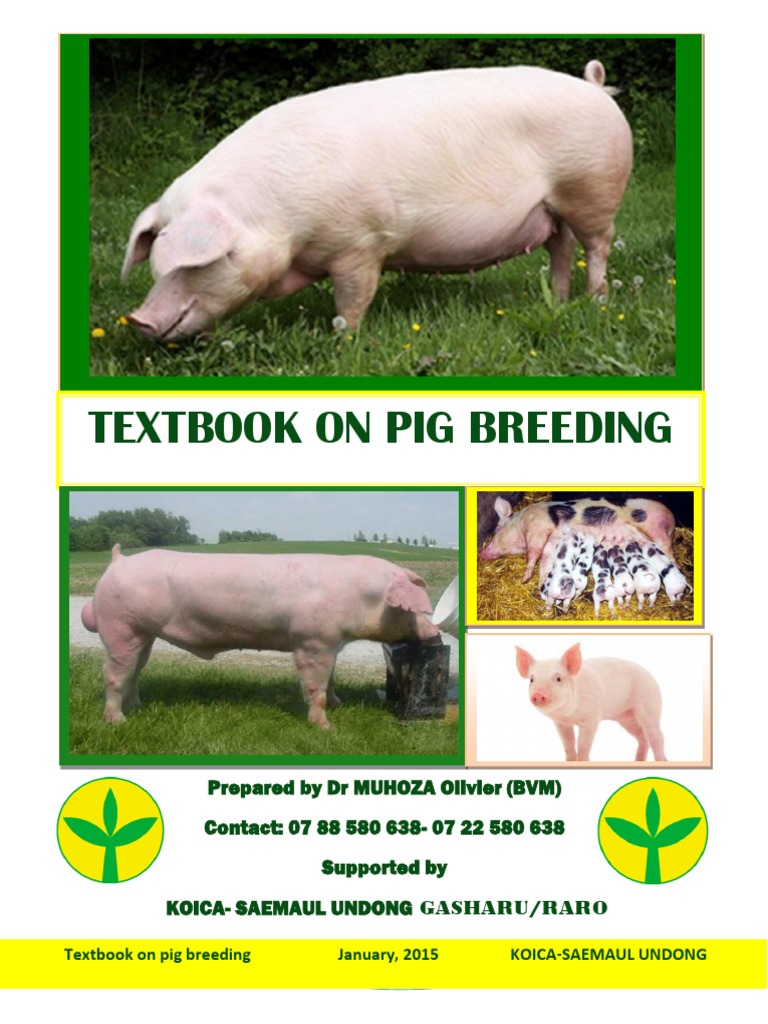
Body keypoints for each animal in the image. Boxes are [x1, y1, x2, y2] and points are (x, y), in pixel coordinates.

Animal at [81, 545, 438, 730]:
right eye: (418, 608)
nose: (434, 630)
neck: (362, 597)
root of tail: (118, 561)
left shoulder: (329, 642)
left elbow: (331, 678)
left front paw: (338, 703)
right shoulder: (312, 641)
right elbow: (315, 685)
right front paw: (325, 726)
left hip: (143, 634)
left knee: (135, 670)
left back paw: (137, 705)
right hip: (121, 628)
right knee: (113, 673)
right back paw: (118, 721)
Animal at [121, 62, 632, 339]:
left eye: (197, 263)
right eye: (156, 267)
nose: (138, 319)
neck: (281, 220)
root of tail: (593, 86)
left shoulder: (361, 244)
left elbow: (351, 302)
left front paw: (342, 342)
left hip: (592, 190)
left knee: (597, 247)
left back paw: (596, 302)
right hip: (554, 208)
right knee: (561, 248)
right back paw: (558, 302)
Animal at [481, 495, 676, 583]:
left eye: (496, 529)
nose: (482, 554)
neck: (520, 522)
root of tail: (671, 518)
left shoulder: (537, 529)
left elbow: (533, 553)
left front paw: (525, 579)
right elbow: (543, 558)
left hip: (655, 527)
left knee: (668, 550)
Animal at [515, 643, 666, 762]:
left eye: (558, 678)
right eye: (531, 679)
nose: (538, 694)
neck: (569, 715)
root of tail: (653, 678)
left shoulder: (591, 719)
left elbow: (583, 745)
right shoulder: (561, 723)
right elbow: (568, 745)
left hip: (649, 706)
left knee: (657, 736)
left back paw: (661, 760)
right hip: (626, 719)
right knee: (643, 738)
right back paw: (637, 761)